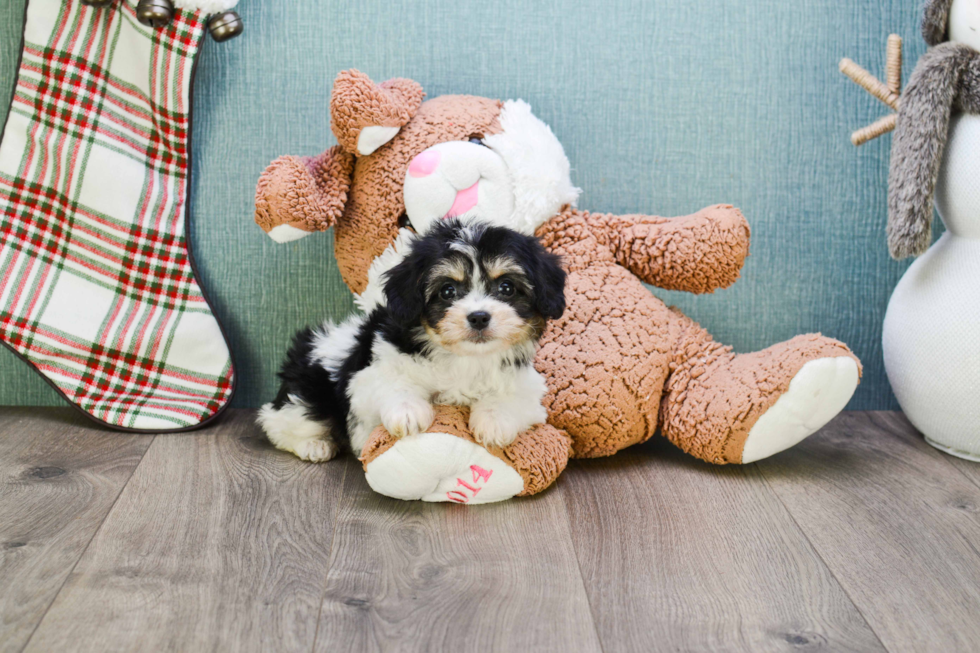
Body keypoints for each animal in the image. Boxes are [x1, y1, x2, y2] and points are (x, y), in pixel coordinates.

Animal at [258, 220, 568, 464]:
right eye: (447, 290)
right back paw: (315, 445)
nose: (479, 317)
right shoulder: (367, 375)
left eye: (506, 287)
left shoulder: (527, 387)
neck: (464, 358)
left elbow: (512, 397)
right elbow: (392, 382)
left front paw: (494, 421)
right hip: (307, 391)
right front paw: (407, 412)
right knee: (281, 421)